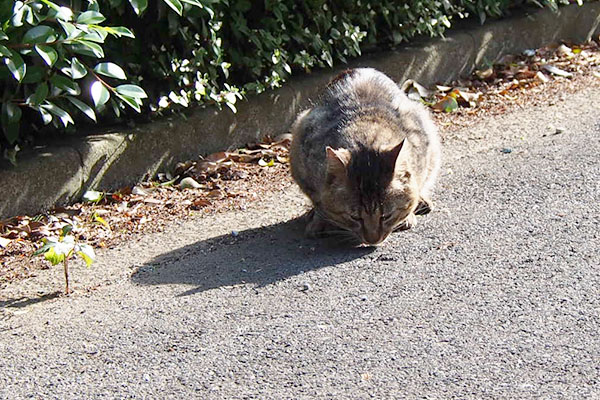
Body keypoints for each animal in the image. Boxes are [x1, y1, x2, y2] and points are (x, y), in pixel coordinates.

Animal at [290, 67, 440, 245]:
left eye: (386, 216)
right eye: (354, 217)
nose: (372, 240)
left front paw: (409, 212)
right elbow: (319, 201)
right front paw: (320, 219)